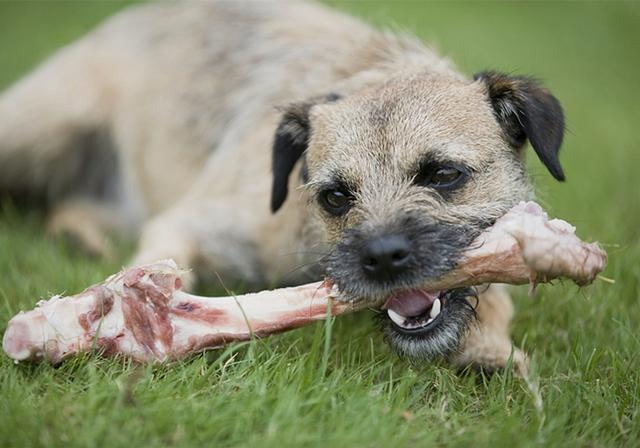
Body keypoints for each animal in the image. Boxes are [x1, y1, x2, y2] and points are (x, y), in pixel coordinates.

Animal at [0, 0, 564, 374]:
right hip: (40, 125)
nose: (382, 256)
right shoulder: (190, 221)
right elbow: (164, 258)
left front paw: (492, 350)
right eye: (335, 197)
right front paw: (136, 311)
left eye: (444, 175)